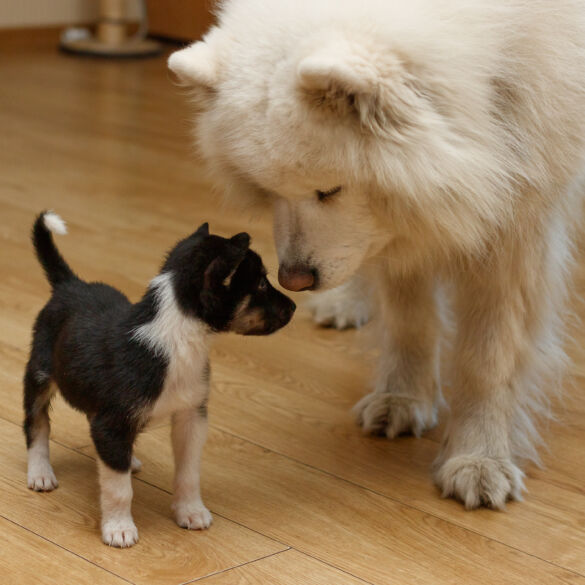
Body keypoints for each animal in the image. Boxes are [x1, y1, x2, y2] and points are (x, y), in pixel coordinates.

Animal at [23, 211, 294, 548]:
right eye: (260, 284)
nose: (294, 307)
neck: (178, 338)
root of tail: (70, 284)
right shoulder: (111, 423)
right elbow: (118, 488)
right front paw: (118, 528)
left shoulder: (191, 416)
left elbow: (189, 473)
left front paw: (190, 512)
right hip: (39, 374)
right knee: (37, 424)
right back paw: (40, 473)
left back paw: (128, 459)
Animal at [168, 0, 584, 508]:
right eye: (269, 192)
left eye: (329, 190)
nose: (293, 280)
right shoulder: (398, 230)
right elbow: (410, 322)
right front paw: (402, 400)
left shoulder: (515, 225)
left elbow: (488, 358)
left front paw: (479, 458)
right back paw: (346, 305)